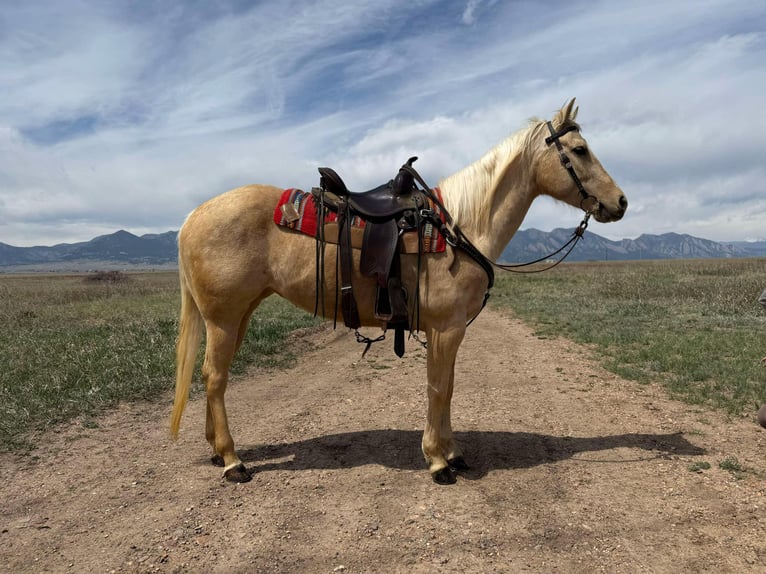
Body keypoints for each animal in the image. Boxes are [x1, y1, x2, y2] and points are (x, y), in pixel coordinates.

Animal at [170, 99, 628, 485]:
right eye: (580, 149)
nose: (621, 202)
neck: (458, 227)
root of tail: (193, 216)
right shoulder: (446, 330)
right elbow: (438, 388)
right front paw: (439, 461)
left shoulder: (452, 332)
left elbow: (449, 386)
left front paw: (453, 452)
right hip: (224, 318)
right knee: (214, 377)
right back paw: (233, 462)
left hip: (237, 315)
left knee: (215, 376)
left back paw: (217, 450)